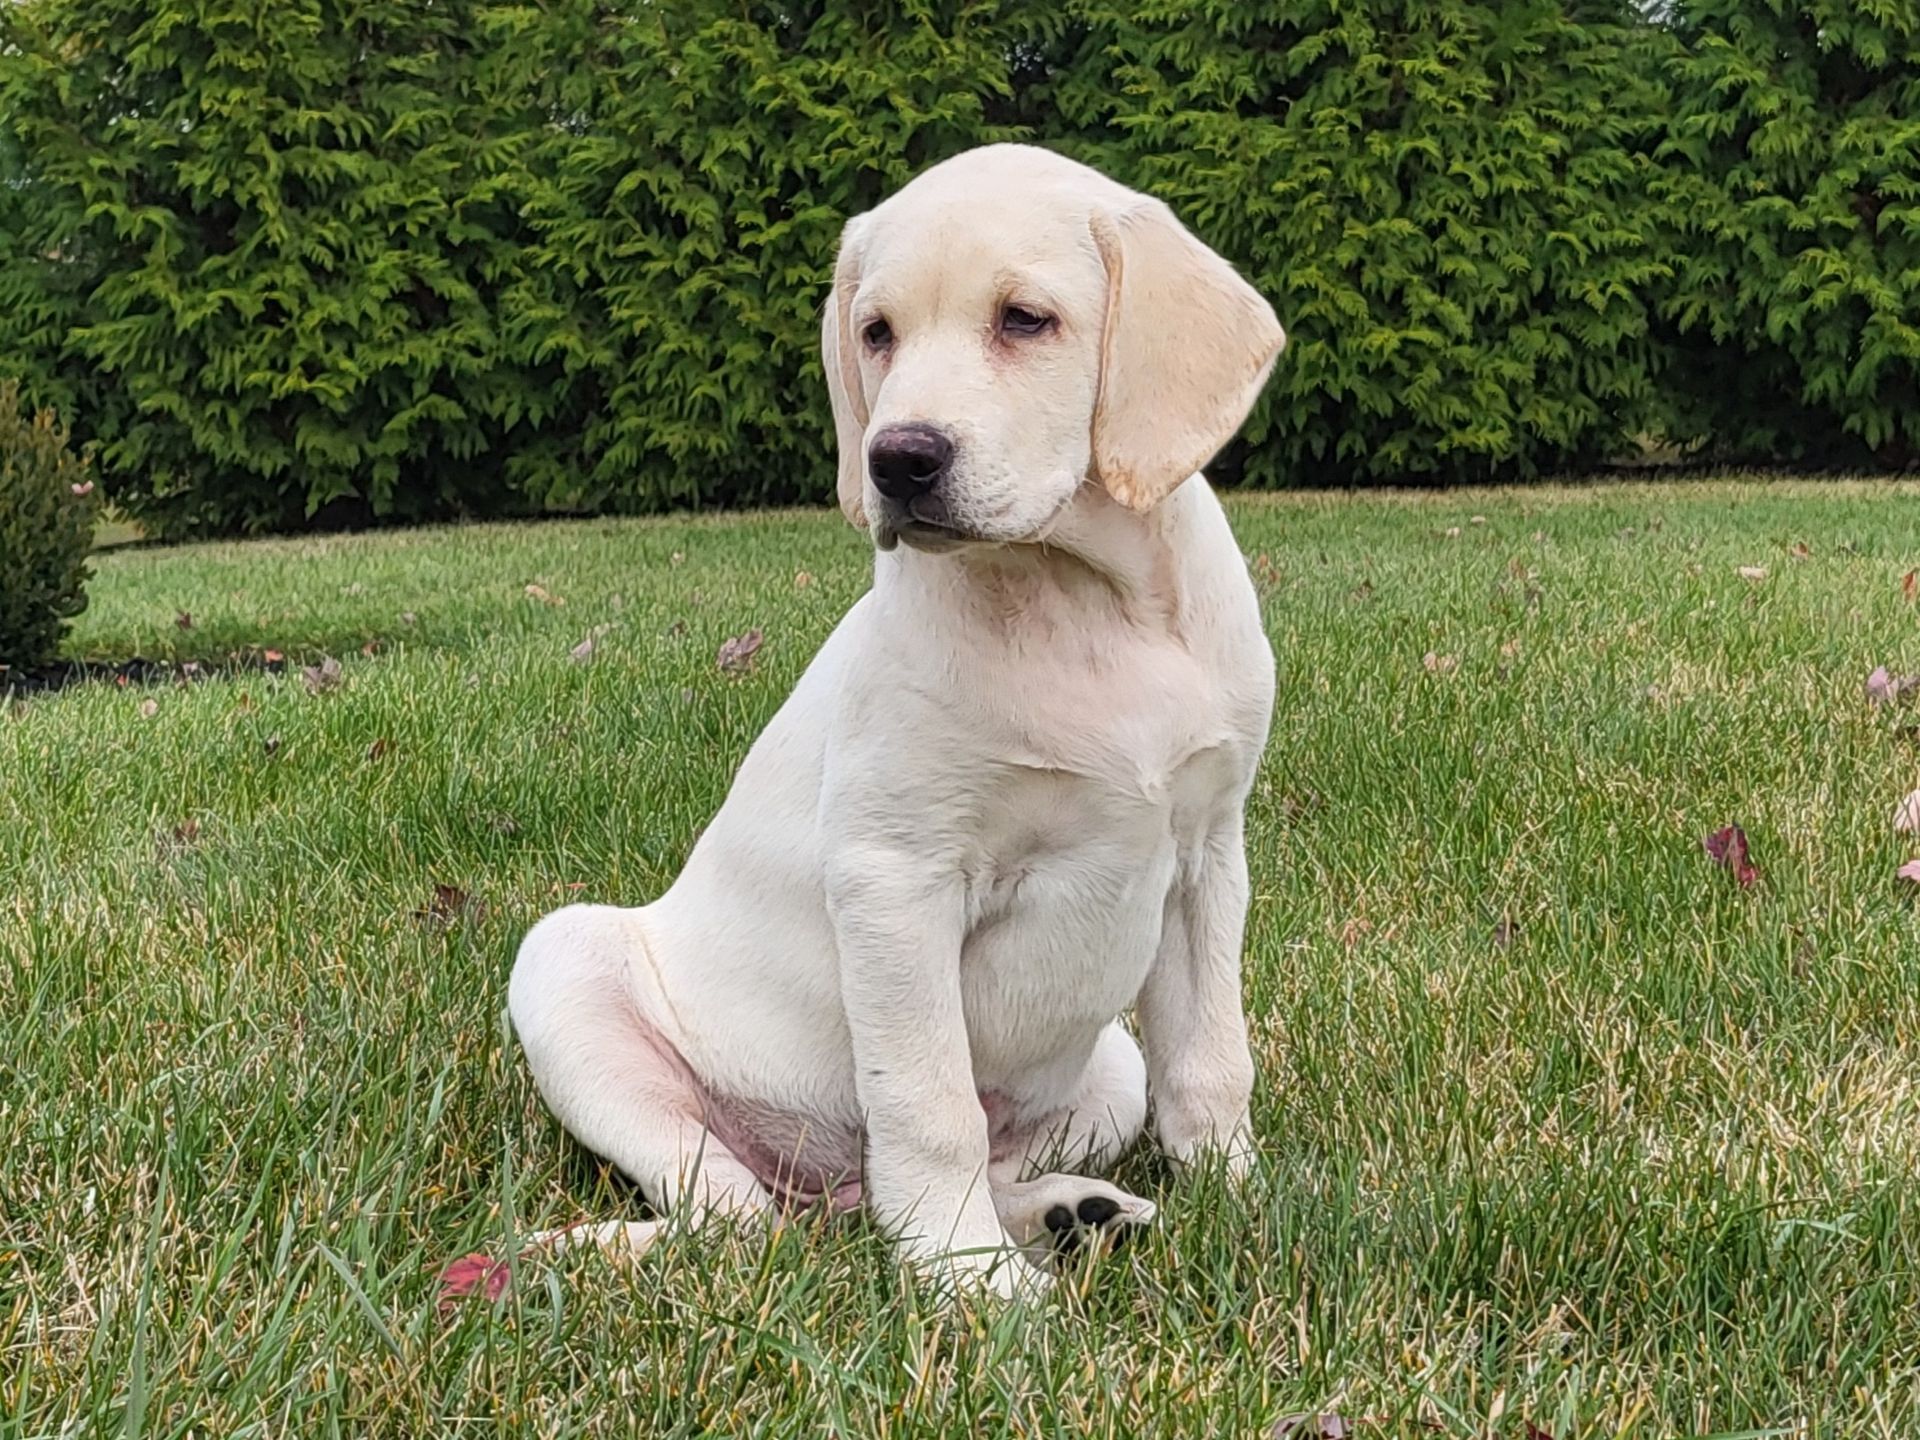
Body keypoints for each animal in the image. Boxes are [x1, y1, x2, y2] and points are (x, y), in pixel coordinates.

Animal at [507, 143, 1284, 1299]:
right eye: (876, 333)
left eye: (1025, 319)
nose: (898, 461)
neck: (1081, 601)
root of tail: (818, 1189)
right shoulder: (896, 877)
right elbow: (928, 1103)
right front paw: (967, 1277)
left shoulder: (1205, 859)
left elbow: (1212, 1062)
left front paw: (1245, 1204)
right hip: (567, 973)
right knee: (738, 1218)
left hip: (1108, 1068)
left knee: (946, 1175)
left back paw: (1073, 1213)